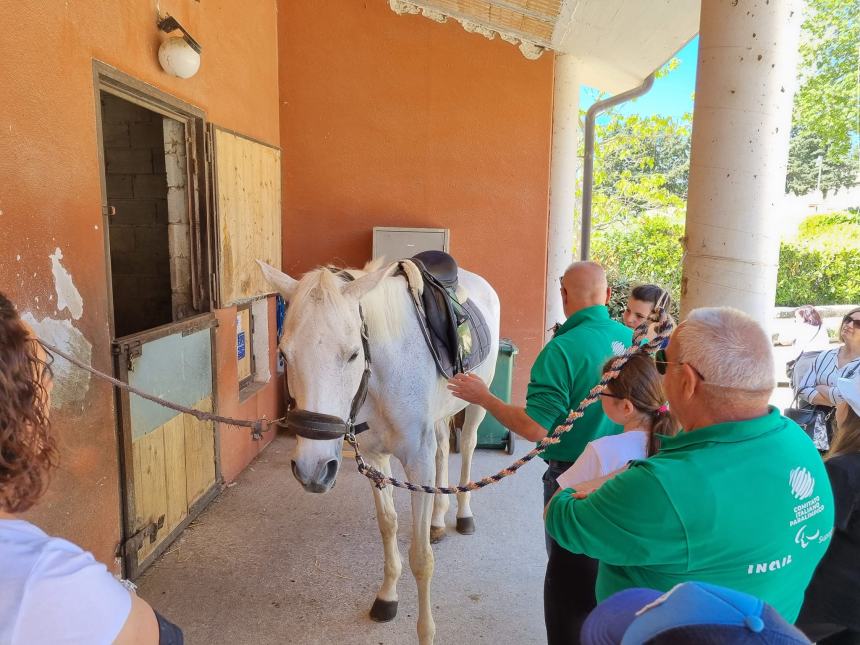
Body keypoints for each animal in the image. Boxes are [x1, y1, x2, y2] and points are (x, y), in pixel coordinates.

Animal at [258, 258, 500, 644]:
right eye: (283, 353)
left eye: (353, 354)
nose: (312, 469)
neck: (382, 376)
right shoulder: (374, 459)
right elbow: (387, 525)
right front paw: (387, 598)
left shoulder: (417, 464)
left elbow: (421, 558)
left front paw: (426, 632)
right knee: (443, 449)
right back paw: (437, 519)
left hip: (478, 400)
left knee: (468, 446)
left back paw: (463, 515)